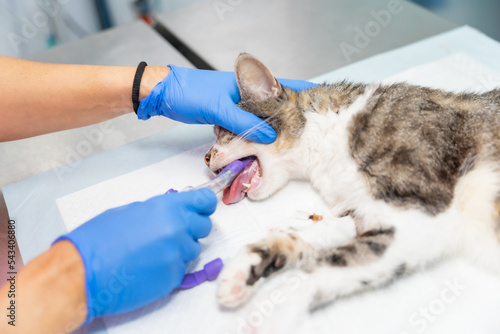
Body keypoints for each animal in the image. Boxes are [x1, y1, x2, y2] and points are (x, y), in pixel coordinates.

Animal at [202, 53, 500, 332]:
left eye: (220, 131)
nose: (205, 158)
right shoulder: (364, 215)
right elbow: (309, 234)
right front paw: (246, 267)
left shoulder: (420, 214)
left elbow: (330, 264)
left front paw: (272, 315)